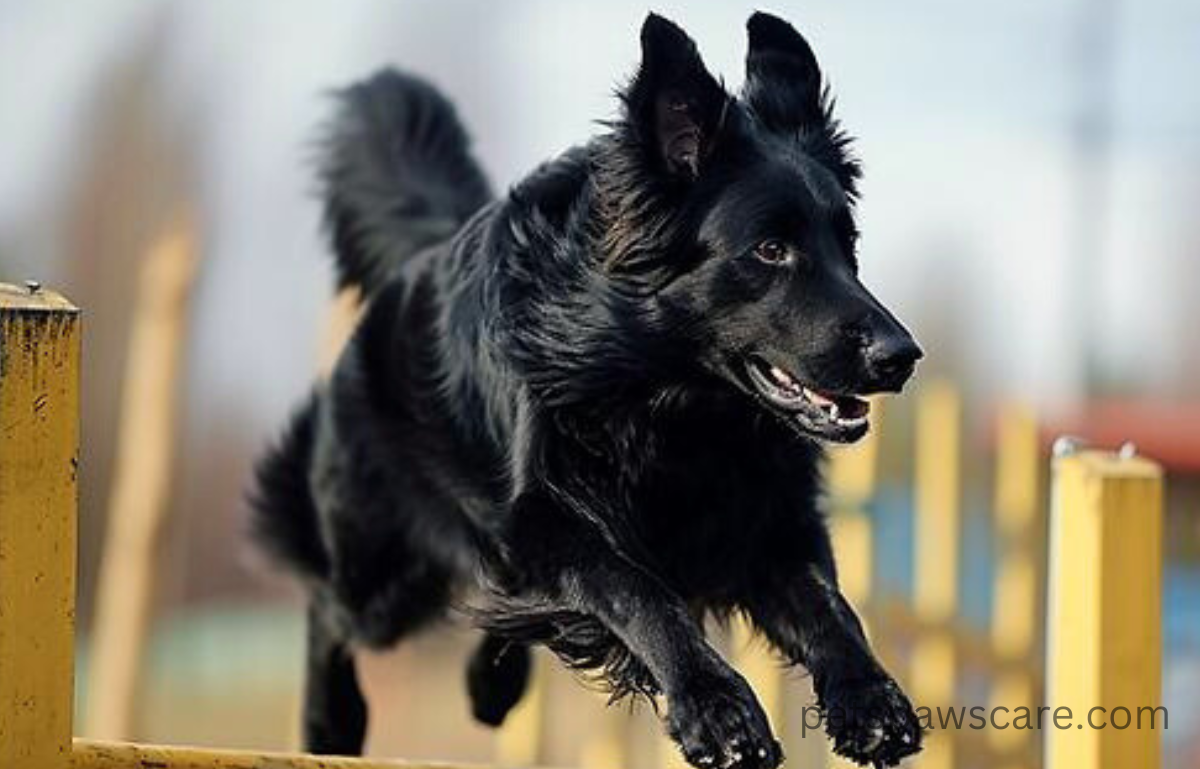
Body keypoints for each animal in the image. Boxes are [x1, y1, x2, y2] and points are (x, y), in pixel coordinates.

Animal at [253, 11, 921, 767]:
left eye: (848, 245)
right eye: (770, 250)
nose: (902, 357)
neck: (677, 406)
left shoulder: (770, 519)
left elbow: (831, 608)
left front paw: (871, 697)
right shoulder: (548, 515)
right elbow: (636, 589)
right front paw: (716, 708)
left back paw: (493, 685)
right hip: (380, 573)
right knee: (328, 606)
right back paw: (329, 721)